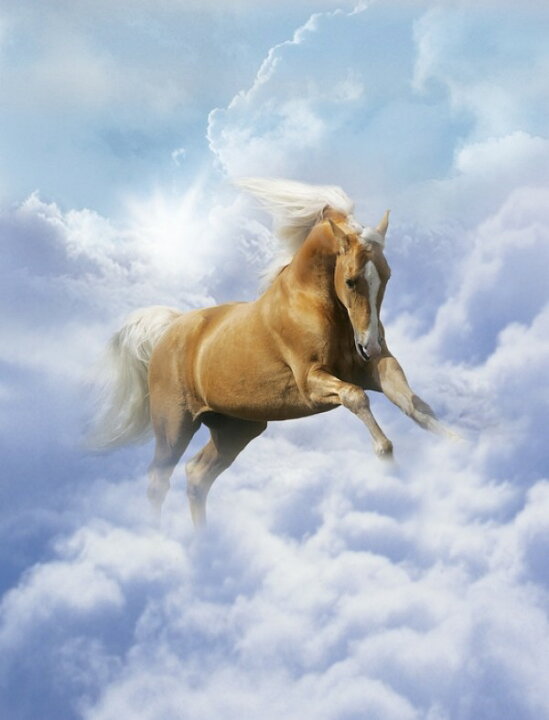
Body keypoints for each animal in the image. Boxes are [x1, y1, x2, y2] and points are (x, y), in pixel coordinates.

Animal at [92, 178, 453, 527]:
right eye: (351, 281)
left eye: (387, 275)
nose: (369, 344)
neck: (313, 305)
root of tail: (170, 328)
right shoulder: (312, 382)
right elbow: (356, 397)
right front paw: (385, 453)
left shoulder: (373, 369)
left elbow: (415, 406)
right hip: (175, 427)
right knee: (158, 480)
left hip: (236, 429)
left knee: (197, 476)